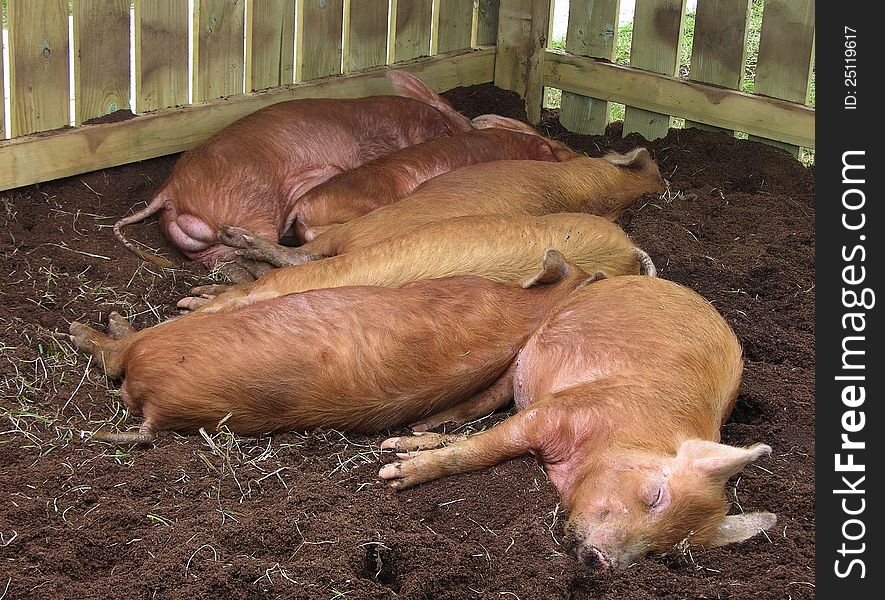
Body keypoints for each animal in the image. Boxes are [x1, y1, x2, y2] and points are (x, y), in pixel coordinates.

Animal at [380, 276, 772, 572]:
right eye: (655, 496)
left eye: (661, 552)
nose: (602, 561)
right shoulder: (555, 412)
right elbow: (479, 450)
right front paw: (392, 475)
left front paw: (396, 461)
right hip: (527, 350)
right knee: (489, 397)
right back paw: (414, 430)